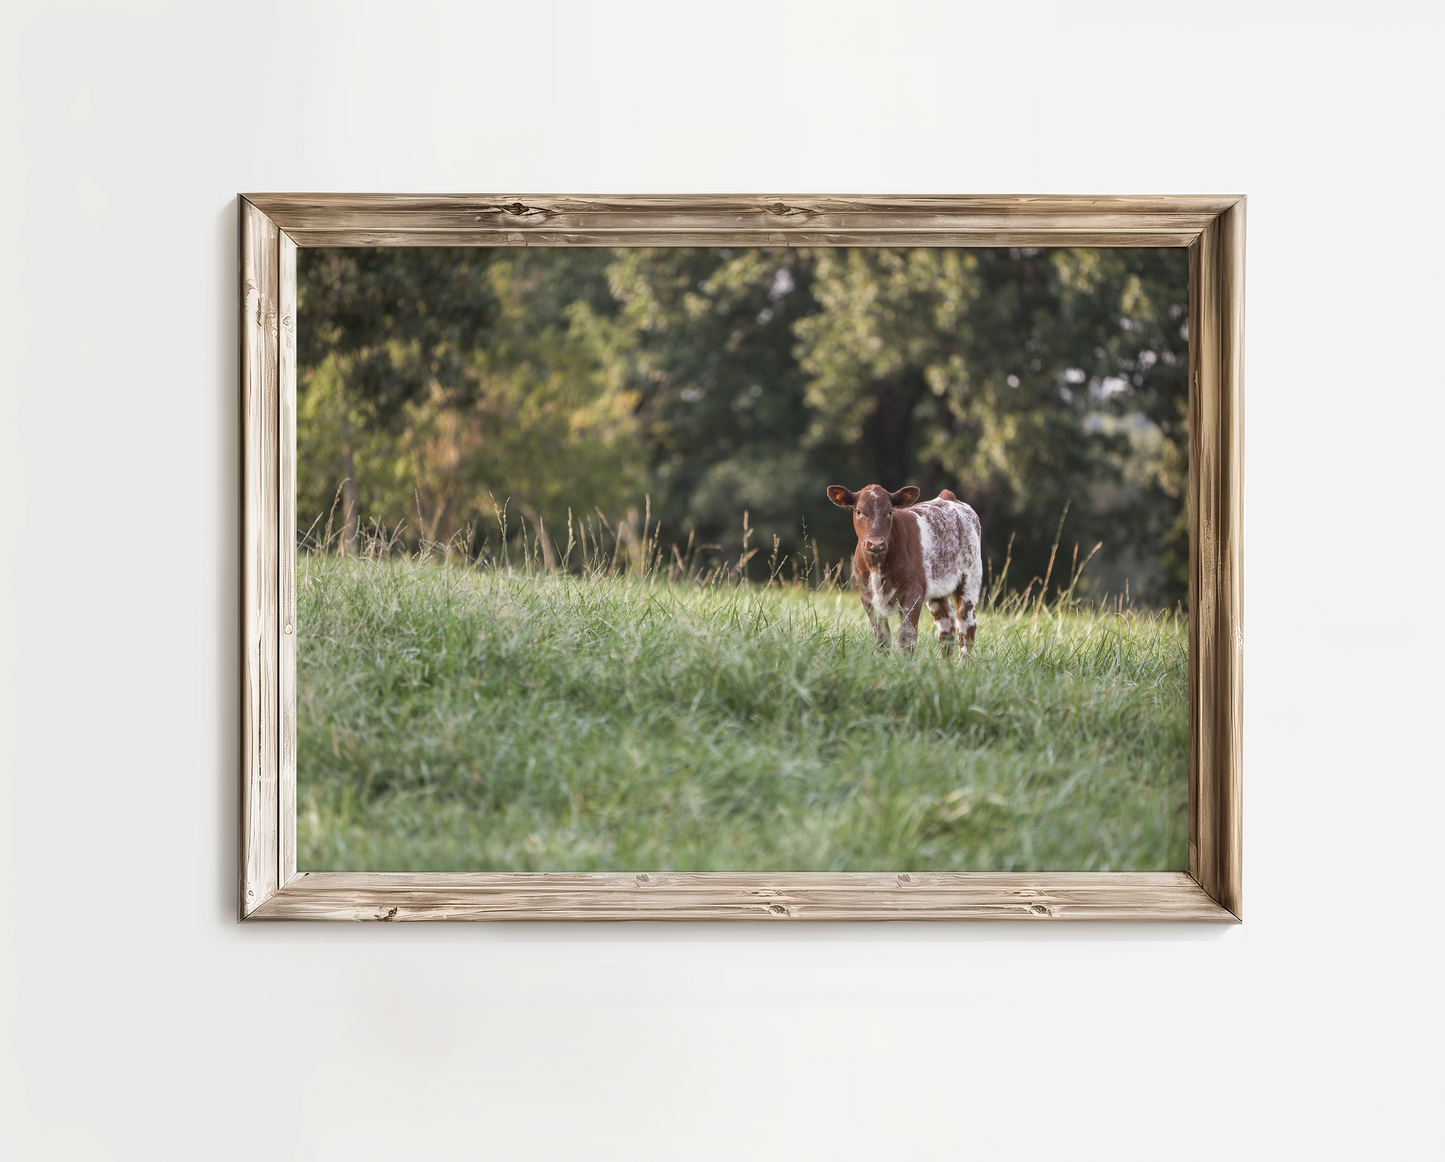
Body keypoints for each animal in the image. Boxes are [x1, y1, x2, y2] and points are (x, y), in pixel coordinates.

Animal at [826, 482, 982, 653]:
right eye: (858, 511)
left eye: (890, 512)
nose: (876, 543)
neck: (877, 567)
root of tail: (948, 497)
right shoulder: (867, 597)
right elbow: (881, 638)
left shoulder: (913, 593)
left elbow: (906, 637)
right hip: (937, 589)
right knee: (946, 626)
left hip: (971, 579)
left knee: (966, 626)